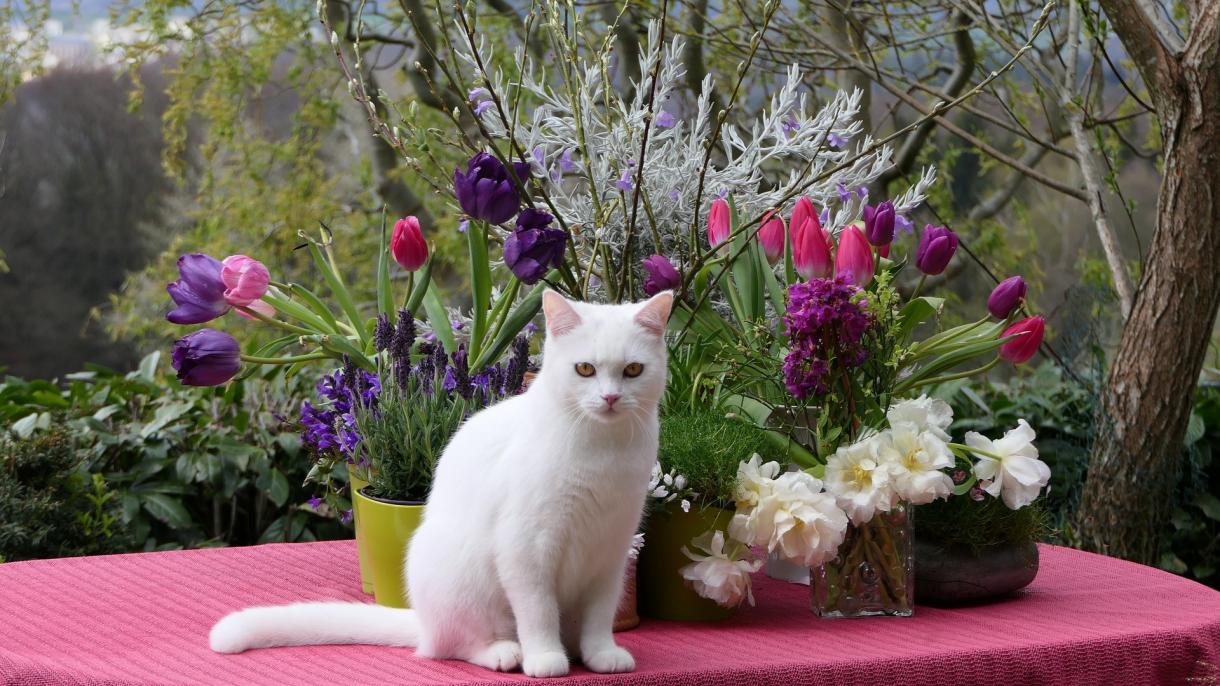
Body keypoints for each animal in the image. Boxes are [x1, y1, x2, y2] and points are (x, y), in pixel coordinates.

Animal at [207, 286, 668, 673]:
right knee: (451, 647)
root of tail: (423, 623)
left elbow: (599, 616)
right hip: (463, 579)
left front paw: (601, 653)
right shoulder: (526, 550)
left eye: (632, 370)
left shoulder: (609, 554)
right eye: (585, 369)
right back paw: (505, 652)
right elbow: (538, 613)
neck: (601, 448)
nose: (610, 397)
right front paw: (545, 658)